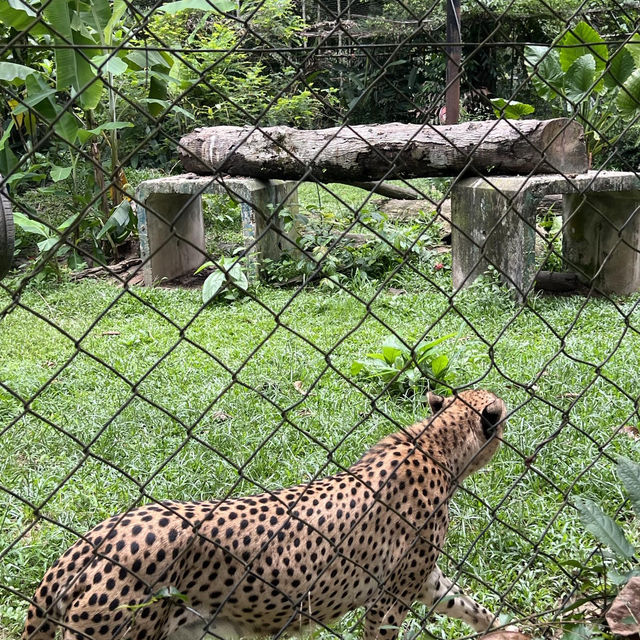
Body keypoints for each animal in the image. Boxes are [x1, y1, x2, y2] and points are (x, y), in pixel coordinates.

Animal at [22, 390, 508, 640]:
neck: (437, 445)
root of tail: (92, 540)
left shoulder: (423, 580)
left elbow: (467, 603)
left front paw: (500, 627)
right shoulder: (389, 602)